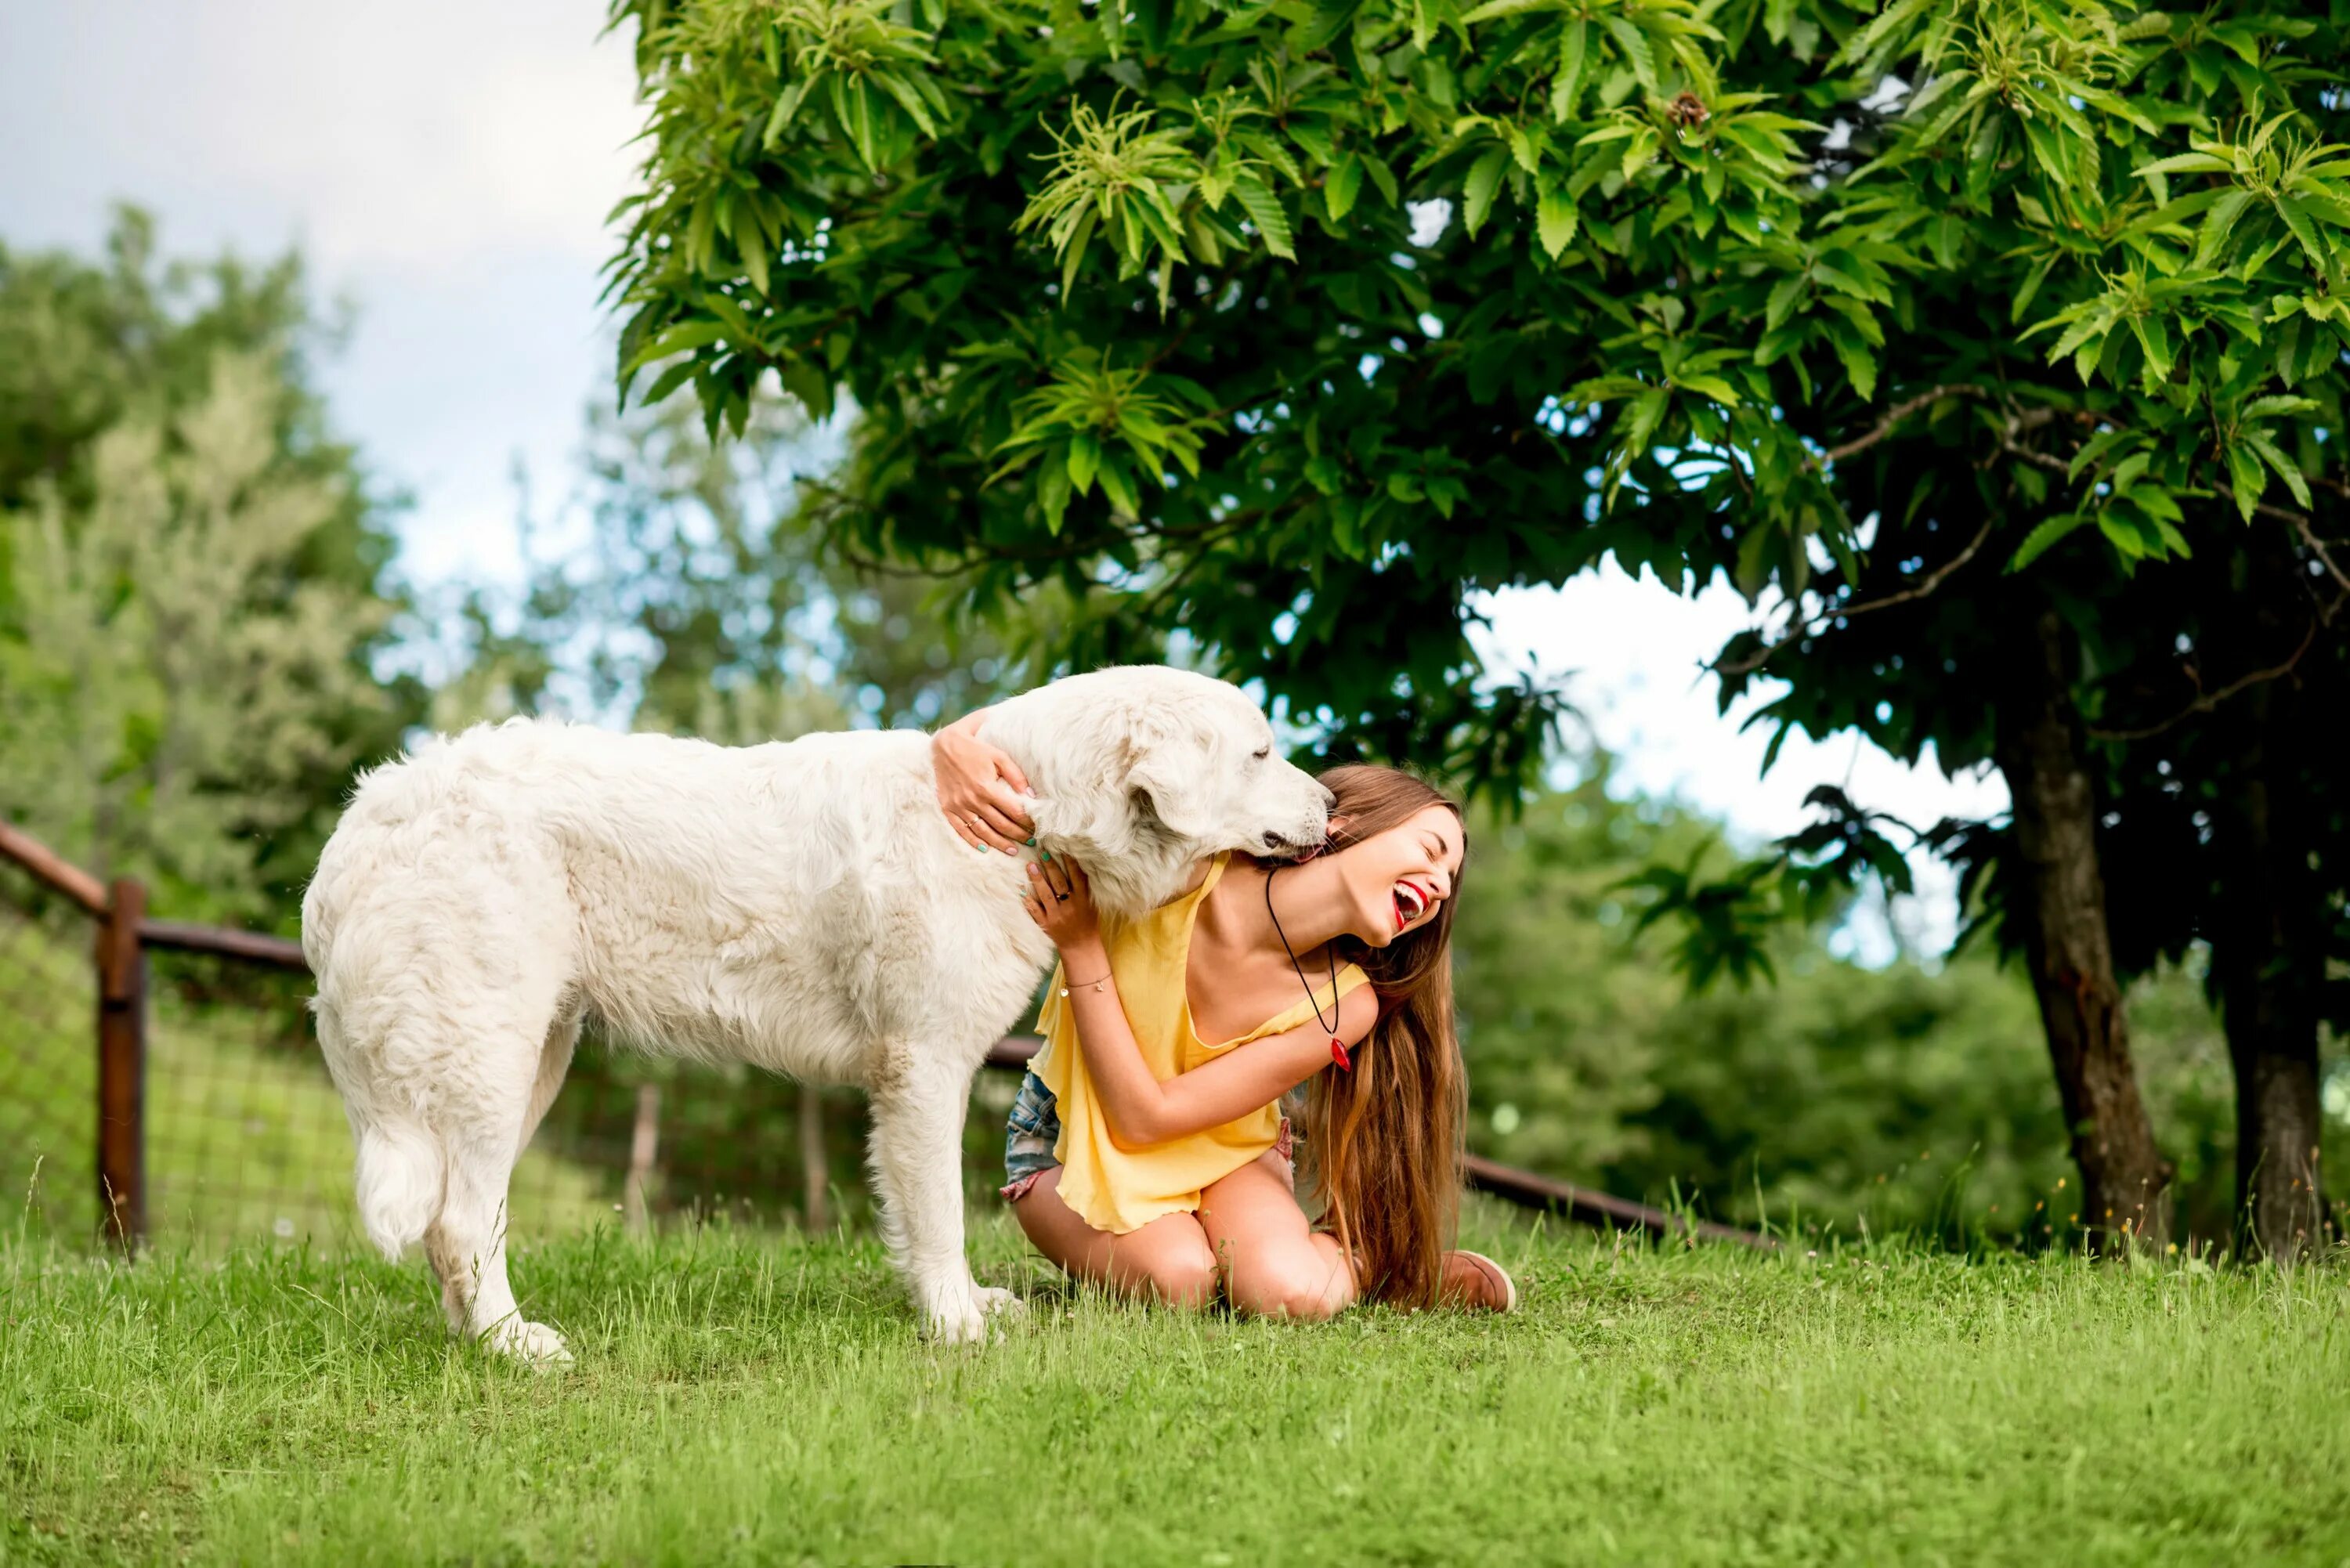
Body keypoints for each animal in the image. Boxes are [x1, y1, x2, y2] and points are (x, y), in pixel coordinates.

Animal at [303, 667, 1335, 1353]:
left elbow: (926, 1218)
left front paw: (962, 1305)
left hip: (531, 1062)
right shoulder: (925, 1064)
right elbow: (938, 1210)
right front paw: (956, 1325)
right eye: (1260, 752)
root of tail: (367, 813)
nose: (1329, 800)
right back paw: (515, 1346)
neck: (1030, 809)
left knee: (457, 1224)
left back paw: (476, 1338)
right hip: (490, 1059)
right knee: (458, 1218)